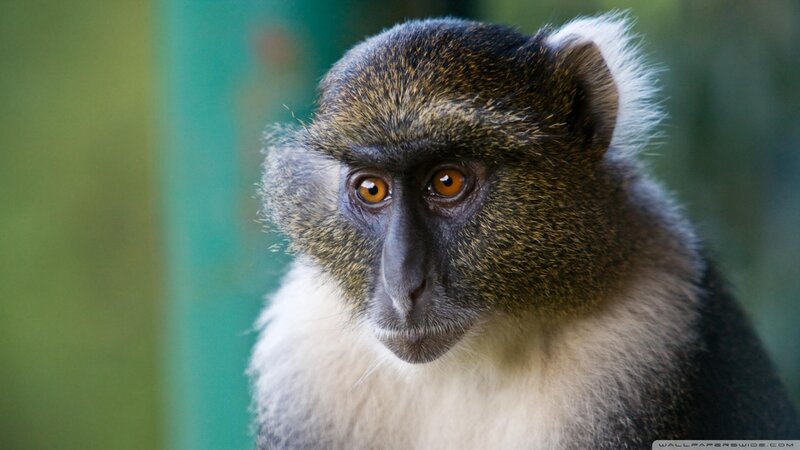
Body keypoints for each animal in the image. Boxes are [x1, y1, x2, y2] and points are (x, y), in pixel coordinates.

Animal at [249, 13, 800, 449]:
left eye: (446, 181)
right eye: (371, 189)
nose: (404, 287)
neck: (470, 363)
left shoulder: (651, 341)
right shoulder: (301, 367)